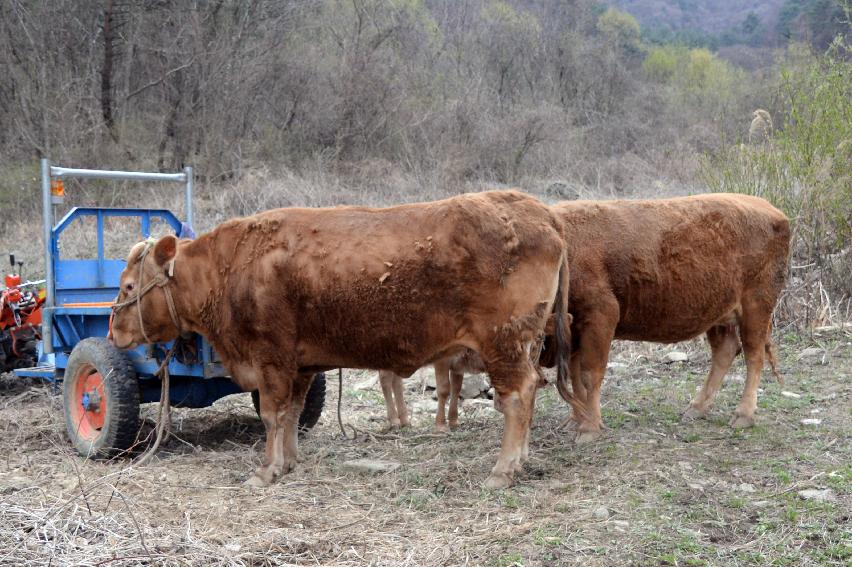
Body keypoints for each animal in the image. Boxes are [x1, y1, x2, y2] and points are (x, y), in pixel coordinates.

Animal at [110, 191, 568, 488]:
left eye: (129, 286)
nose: (113, 329)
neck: (232, 267)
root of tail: (536, 210)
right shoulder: (301, 366)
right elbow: (291, 415)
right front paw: (289, 462)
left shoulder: (270, 360)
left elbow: (272, 416)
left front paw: (266, 470)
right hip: (521, 347)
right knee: (528, 395)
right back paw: (522, 460)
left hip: (503, 345)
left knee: (516, 398)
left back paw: (503, 469)